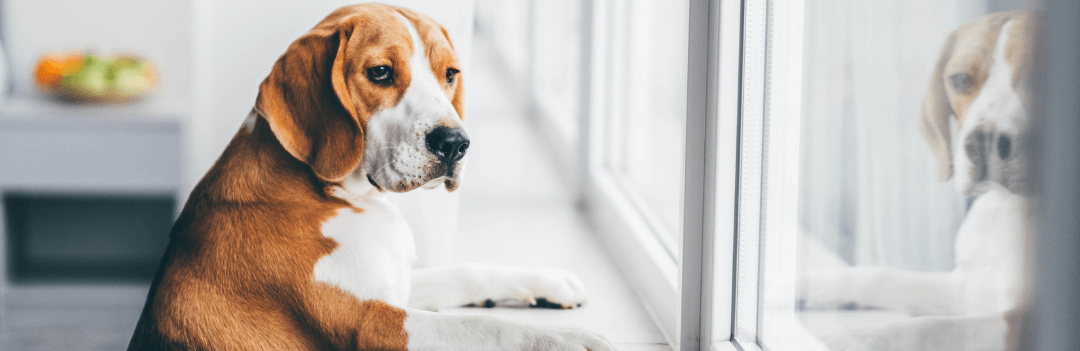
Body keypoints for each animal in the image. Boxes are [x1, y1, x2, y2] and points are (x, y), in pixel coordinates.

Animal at [125, 4, 613, 349]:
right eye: (380, 72)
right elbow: (483, 328)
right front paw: (568, 341)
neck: (338, 195)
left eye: (450, 74)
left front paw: (546, 281)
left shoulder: (394, 287)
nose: (455, 143)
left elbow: (466, 272)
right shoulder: (374, 324)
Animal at [803, 10, 1036, 349]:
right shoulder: (965, 289)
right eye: (961, 79)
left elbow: (932, 328)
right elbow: (881, 276)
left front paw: (855, 339)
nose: (982, 142)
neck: (1009, 211)